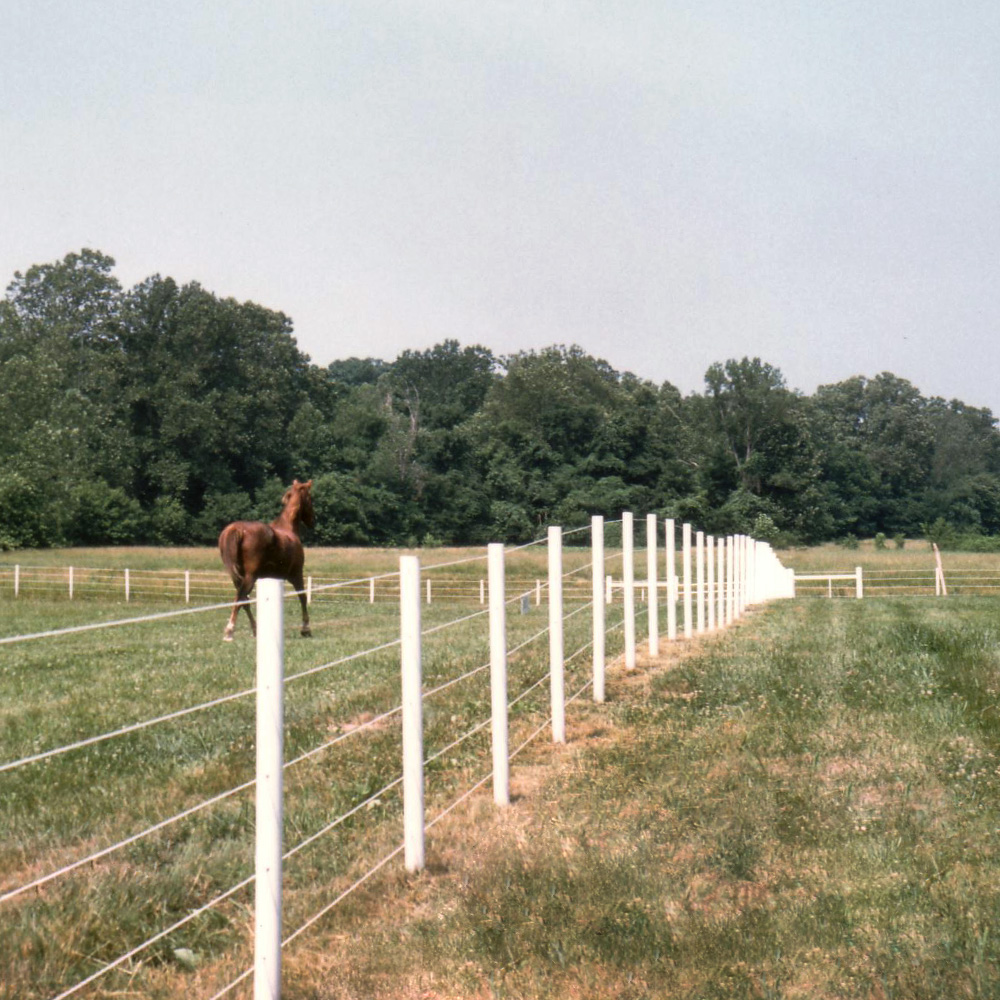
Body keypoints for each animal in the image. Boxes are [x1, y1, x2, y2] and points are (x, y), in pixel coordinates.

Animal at [218, 479, 315, 641]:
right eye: (310, 498)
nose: (312, 521)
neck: (288, 529)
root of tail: (237, 529)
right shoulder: (296, 574)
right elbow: (302, 596)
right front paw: (306, 628)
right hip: (250, 577)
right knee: (240, 598)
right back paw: (230, 630)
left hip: (238, 577)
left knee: (244, 600)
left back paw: (255, 629)